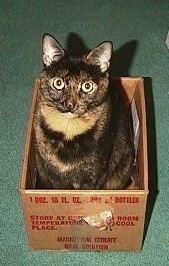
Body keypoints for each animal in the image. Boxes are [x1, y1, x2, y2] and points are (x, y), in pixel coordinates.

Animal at [33, 34, 136, 190]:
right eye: (58, 83)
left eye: (87, 86)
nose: (70, 104)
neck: (68, 130)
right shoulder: (53, 176)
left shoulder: (95, 176)